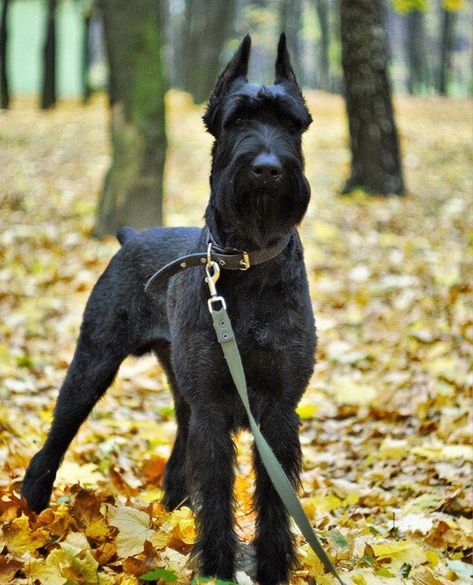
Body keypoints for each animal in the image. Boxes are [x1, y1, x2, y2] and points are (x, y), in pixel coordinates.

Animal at [23, 34, 318, 580]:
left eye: (292, 123)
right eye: (237, 120)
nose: (268, 168)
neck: (247, 262)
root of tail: (132, 235)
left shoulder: (278, 410)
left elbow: (273, 495)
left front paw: (270, 568)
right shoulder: (212, 409)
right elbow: (218, 489)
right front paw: (218, 568)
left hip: (180, 390)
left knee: (179, 463)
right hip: (92, 365)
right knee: (53, 442)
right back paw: (29, 515)